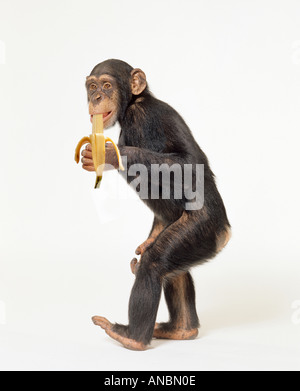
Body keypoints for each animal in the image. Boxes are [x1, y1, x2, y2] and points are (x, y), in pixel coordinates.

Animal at [81, 59, 231, 352]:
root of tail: (224, 233)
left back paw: (131, 336)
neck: (134, 102)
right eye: (92, 86)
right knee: (172, 269)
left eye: (107, 85)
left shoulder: (142, 118)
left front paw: (109, 153)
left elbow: (187, 163)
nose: (96, 97)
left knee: (155, 263)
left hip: (202, 230)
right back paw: (180, 329)